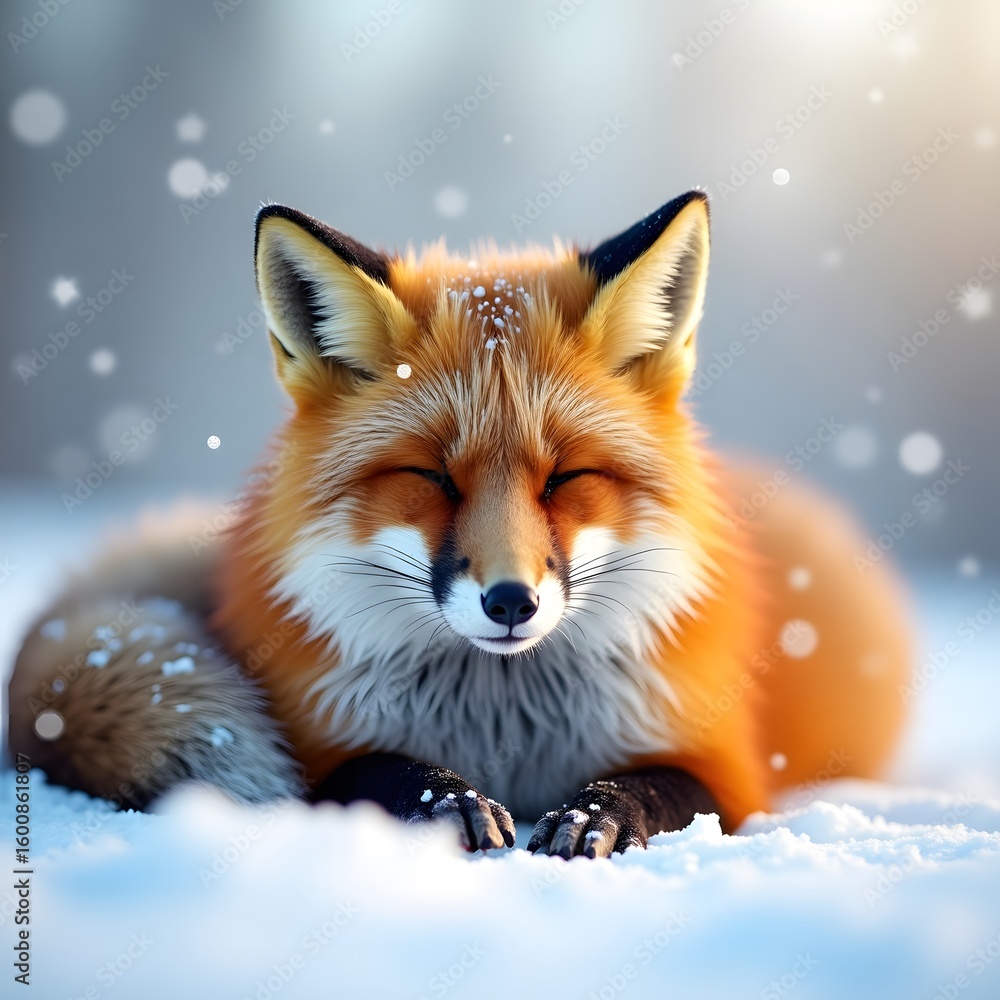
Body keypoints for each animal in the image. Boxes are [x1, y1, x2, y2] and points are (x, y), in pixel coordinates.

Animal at [7, 191, 911, 858]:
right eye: (432, 478)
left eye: (566, 477)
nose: (510, 601)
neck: (503, 727)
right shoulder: (318, 741)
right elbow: (373, 771)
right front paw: (446, 801)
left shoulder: (728, 767)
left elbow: (652, 787)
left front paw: (593, 813)